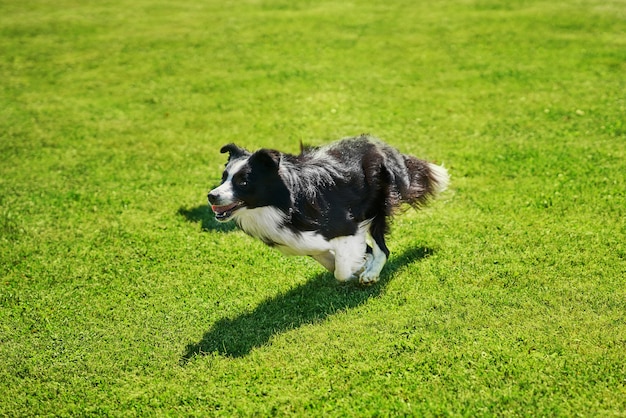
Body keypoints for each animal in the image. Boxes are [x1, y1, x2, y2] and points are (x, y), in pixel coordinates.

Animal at [207, 134, 446, 284]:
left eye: (243, 182)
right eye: (224, 177)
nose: (211, 196)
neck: (283, 204)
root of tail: (380, 146)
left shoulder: (346, 225)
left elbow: (340, 271)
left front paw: (361, 271)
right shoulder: (310, 242)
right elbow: (333, 260)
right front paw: (361, 265)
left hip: (375, 204)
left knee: (382, 247)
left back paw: (371, 273)